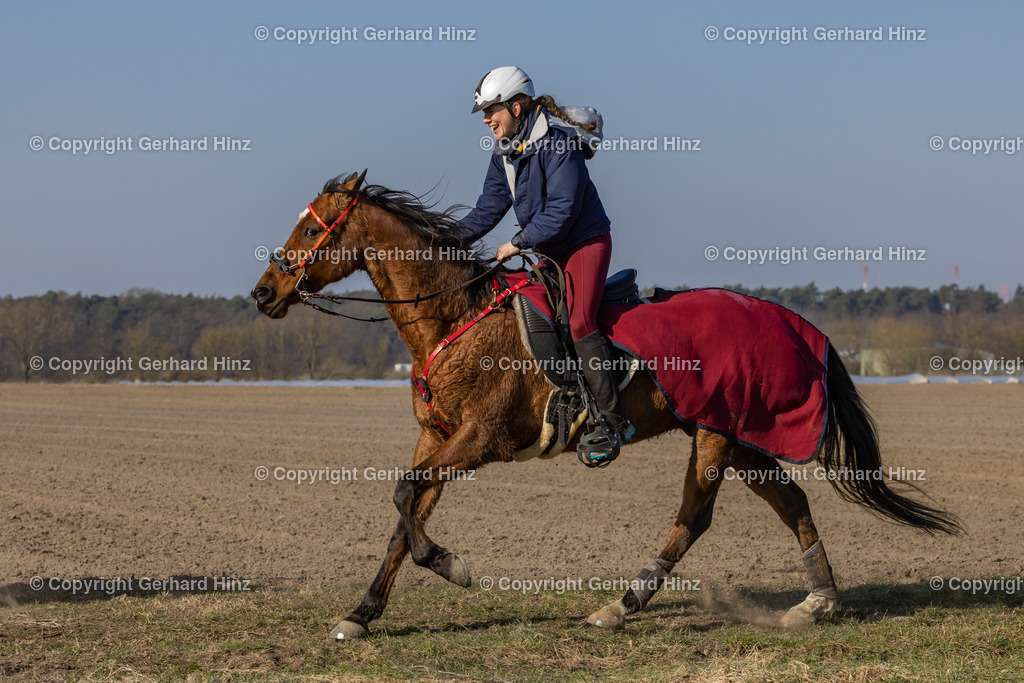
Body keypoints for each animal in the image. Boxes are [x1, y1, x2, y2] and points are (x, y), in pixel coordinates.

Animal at [249, 171, 958, 643]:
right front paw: (362, 613)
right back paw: (818, 601)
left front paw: (456, 567)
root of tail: (790, 320)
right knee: (791, 500)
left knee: (692, 519)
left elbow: (404, 497)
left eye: (310, 227)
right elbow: (404, 515)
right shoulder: (438, 438)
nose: (263, 292)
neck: (452, 318)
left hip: (716, 438)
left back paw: (621, 606)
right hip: (735, 435)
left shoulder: (478, 441)